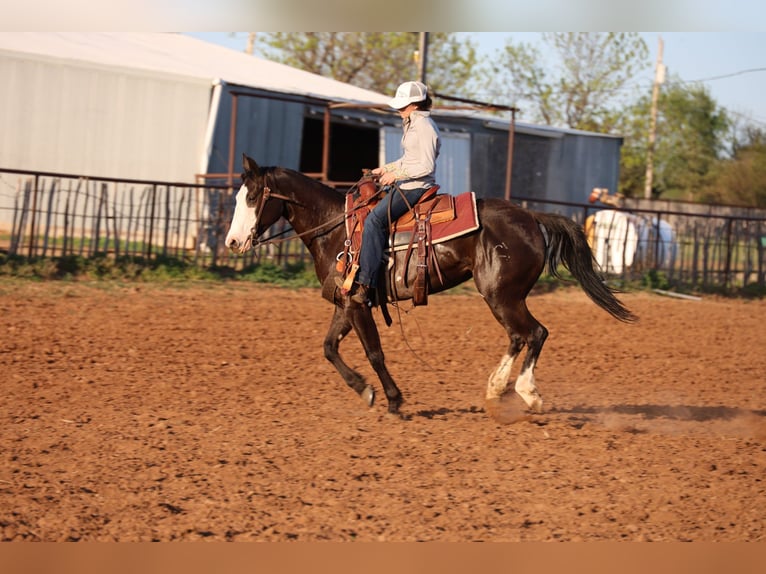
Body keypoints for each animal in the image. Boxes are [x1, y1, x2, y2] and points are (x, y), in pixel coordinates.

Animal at [225, 154, 636, 416]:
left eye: (251, 196)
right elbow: (329, 348)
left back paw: (526, 394)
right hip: (506, 297)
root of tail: (531, 217)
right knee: (521, 336)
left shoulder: (356, 303)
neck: (337, 229)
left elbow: (374, 353)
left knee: (535, 333)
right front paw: (366, 390)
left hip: (501, 296)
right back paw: (496, 387)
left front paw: (393, 400)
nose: (231, 242)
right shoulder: (348, 302)